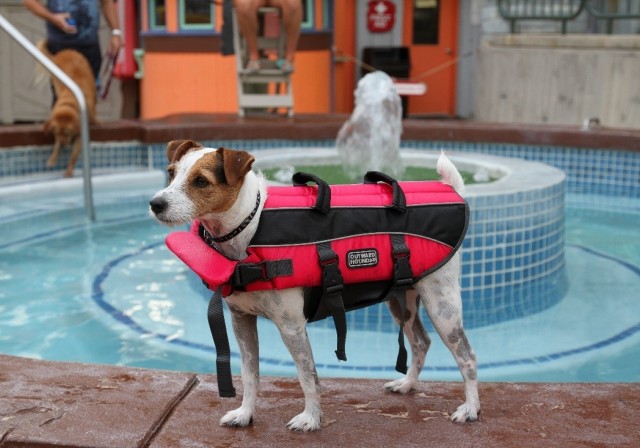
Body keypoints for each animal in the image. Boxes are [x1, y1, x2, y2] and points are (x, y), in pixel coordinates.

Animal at [37, 40, 97, 178]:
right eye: (56, 133)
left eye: (68, 133)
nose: (64, 144)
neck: (71, 100)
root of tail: (65, 51)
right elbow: (56, 146)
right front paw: (53, 158)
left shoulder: (80, 135)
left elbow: (74, 156)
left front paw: (69, 171)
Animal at [149, 140, 480, 431]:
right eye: (171, 172)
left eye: (201, 181)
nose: (155, 204)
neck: (250, 226)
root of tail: (452, 189)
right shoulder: (241, 321)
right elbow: (249, 374)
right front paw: (245, 413)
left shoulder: (292, 327)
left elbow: (307, 376)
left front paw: (311, 419)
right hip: (403, 299)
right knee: (421, 343)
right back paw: (408, 384)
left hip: (442, 305)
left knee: (467, 357)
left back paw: (470, 409)